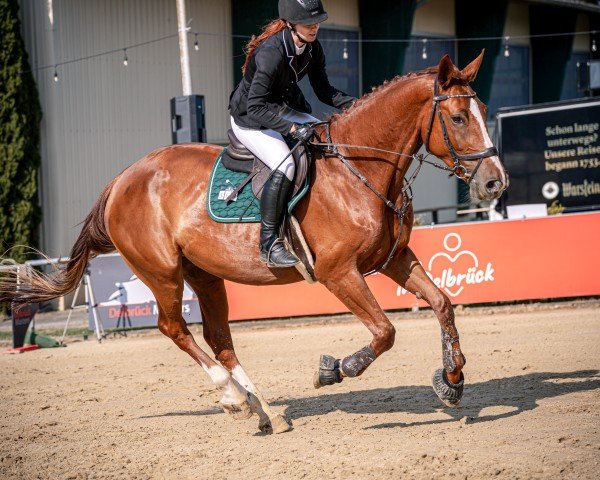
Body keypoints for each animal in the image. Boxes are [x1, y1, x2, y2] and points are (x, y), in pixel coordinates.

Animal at [1, 53, 506, 436]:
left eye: (484, 111)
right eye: (458, 118)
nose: (494, 183)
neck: (359, 168)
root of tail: (122, 179)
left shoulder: (394, 259)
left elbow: (442, 304)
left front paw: (452, 379)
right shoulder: (338, 272)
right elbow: (385, 332)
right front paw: (333, 369)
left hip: (204, 274)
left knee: (218, 337)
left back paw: (263, 411)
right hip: (162, 273)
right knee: (174, 328)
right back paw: (233, 398)